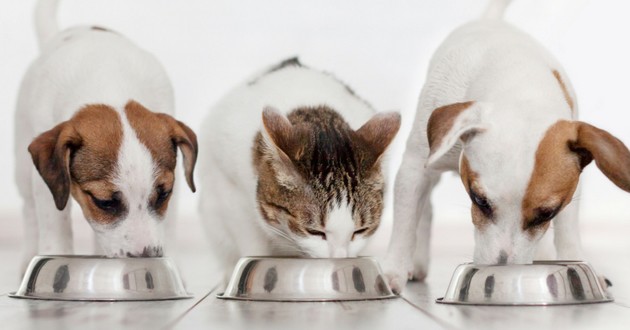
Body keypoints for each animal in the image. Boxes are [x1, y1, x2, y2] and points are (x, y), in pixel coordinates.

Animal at [15, 0, 198, 268]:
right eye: (105, 202)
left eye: (163, 195)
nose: (147, 257)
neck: (108, 83)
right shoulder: (48, 187)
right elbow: (54, 228)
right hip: (22, 164)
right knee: (28, 210)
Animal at [382, 0, 630, 294]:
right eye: (479, 200)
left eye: (547, 213)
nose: (502, 269)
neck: (521, 86)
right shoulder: (415, 168)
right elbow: (405, 223)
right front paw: (393, 270)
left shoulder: (570, 191)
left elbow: (567, 231)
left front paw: (576, 261)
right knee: (425, 209)